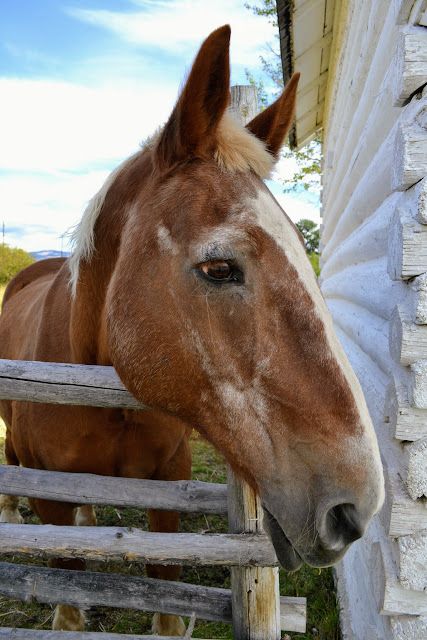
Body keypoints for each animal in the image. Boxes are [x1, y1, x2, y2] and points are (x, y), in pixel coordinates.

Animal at [0, 25, 386, 636]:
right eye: (219, 268)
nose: (356, 510)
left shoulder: (168, 485)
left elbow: (164, 599)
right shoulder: (51, 499)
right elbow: (66, 593)